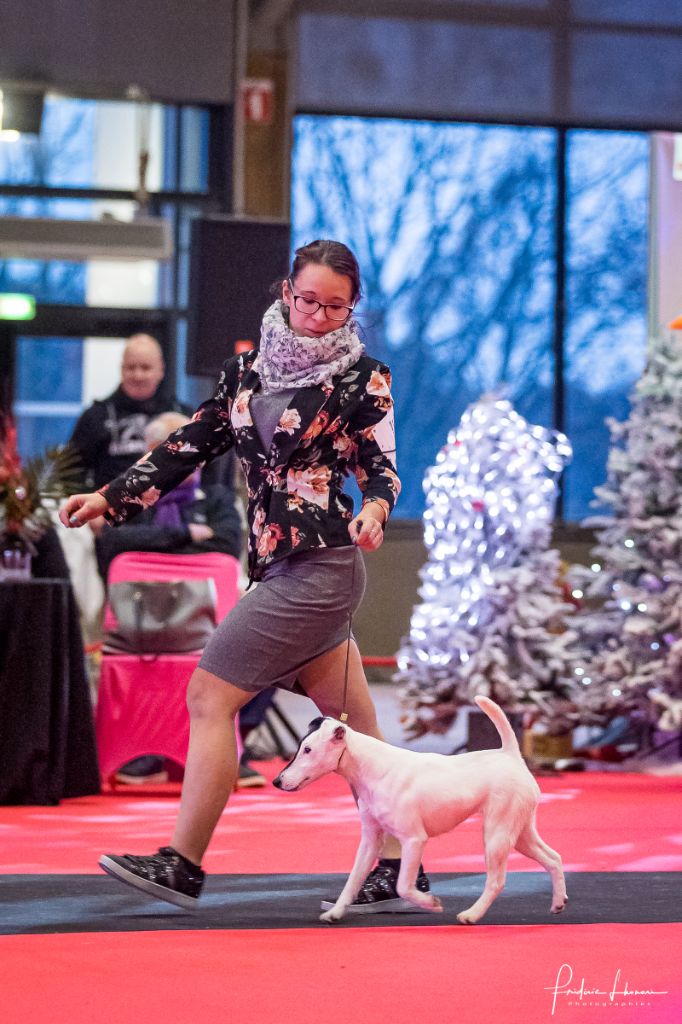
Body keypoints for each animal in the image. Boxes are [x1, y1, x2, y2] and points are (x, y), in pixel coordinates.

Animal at [270, 696, 561, 929]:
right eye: (301, 746)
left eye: (308, 749)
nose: (277, 781)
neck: (372, 768)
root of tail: (510, 755)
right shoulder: (370, 840)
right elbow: (352, 880)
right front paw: (336, 912)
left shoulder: (413, 840)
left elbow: (404, 885)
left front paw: (430, 902)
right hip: (520, 832)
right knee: (553, 858)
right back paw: (558, 903)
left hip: (497, 834)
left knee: (497, 879)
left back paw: (471, 915)